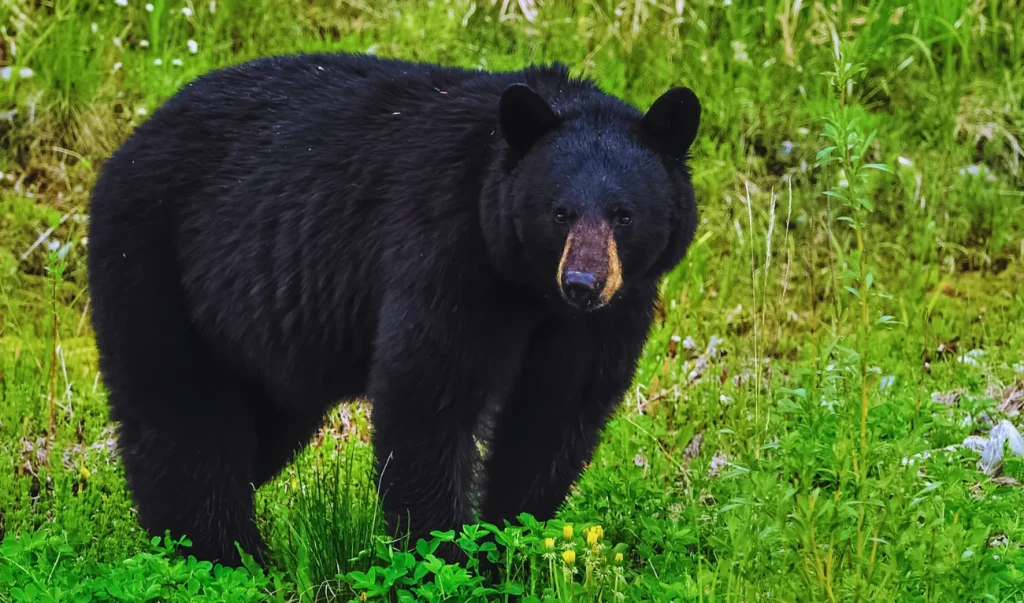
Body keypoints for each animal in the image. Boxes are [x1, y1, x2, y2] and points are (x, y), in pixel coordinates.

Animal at [88, 51, 700, 565]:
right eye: (560, 212)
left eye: (623, 214)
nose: (583, 284)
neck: (530, 288)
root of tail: (127, 144)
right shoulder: (448, 251)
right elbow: (429, 399)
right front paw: (446, 560)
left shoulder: (608, 315)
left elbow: (555, 415)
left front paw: (510, 551)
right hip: (154, 262)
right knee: (181, 419)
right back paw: (222, 556)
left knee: (256, 429)